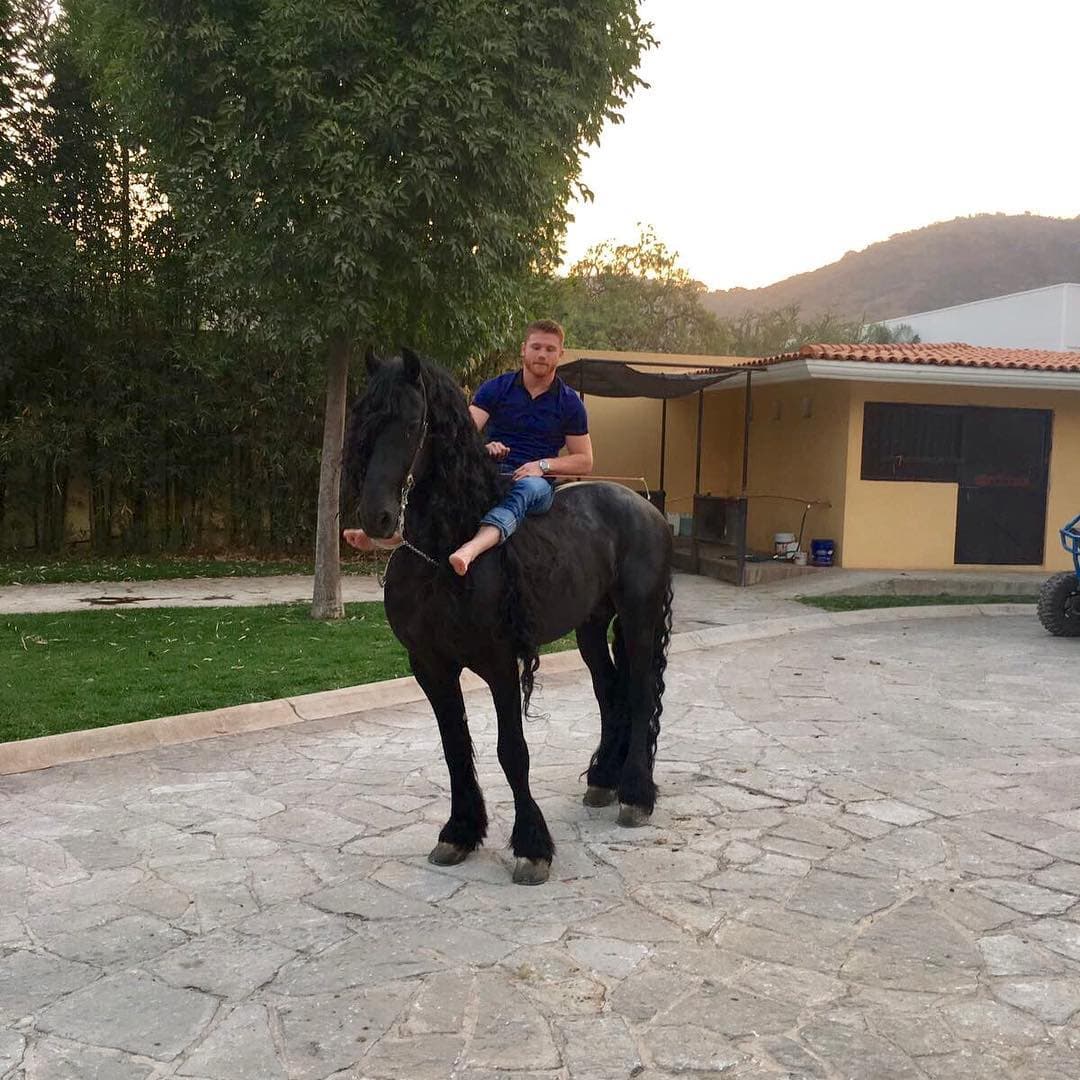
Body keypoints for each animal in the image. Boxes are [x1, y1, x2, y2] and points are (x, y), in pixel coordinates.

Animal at [344, 347, 673, 885]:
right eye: (363, 420)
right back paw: (604, 779)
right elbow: (455, 747)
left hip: (639, 617)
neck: (445, 553)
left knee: (642, 693)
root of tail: (646, 508)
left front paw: (532, 846)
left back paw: (636, 795)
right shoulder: (430, 666)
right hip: (590, 627)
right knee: (611, 694)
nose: (377, 518)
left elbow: (511, 751)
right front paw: (459, 833)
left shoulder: (499, 663)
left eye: (413, 423)